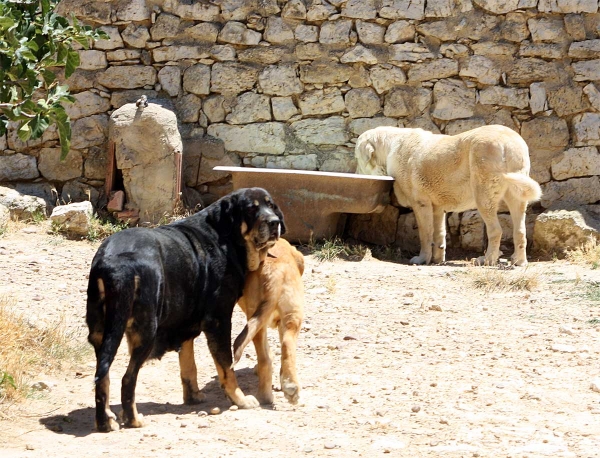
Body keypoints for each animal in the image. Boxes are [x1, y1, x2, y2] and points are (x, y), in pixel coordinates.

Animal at [85, 188, 288, 432]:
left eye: (271, 205)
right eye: (251, 209)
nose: (274, 222)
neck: (226, 236)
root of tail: (114, 262)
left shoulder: (184, 323)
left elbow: (189, 364)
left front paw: (193, 396)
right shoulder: (218, 320)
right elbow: (227, 366)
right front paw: (240, 400)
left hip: (101, 333)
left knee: (102, 377)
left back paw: (104, 421)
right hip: (145, 332)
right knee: (127, 378)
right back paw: (133, 419)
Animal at [232, 240, 302, 404]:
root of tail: (276, 272)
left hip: (257, 322)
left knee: (265, 359)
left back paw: (265, 396)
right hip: (292, 317)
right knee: (286, 345)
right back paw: (290, 385)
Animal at [354, 125, 540, 266]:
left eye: (357, 158)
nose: (355, 173)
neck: (389, 148)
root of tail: (510, 142)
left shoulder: (421, 203)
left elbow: (425, 233)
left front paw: (422, 258)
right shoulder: (437, 207)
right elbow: (439, 233)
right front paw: (437, 258)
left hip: (483, 194)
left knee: (495, 230)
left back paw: (486, 260)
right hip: (517, 194)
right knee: (520, 230)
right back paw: (519, 261)